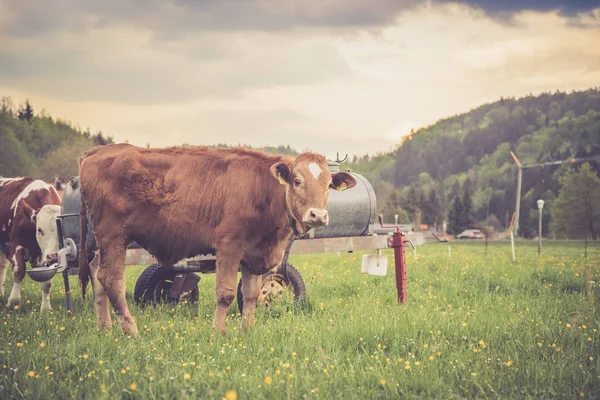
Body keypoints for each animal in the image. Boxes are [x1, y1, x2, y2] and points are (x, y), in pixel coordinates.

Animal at [0, 178, 62, 312]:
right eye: (39, 230)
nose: (54, 256)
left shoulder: (43, 255)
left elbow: (46, 281)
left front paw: (45, 309)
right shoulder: (15, 245)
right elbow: (19, 271)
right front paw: (13, 302)